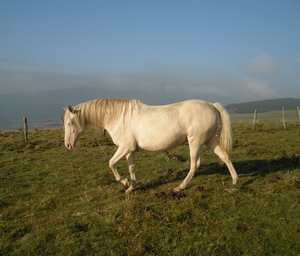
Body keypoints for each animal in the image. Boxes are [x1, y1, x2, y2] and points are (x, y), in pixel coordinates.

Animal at [62, 99, 237, 193]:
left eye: (70, 122)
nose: (68, 145)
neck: (118, 117)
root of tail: (212, 105)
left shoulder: (124, 148)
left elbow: (111, 163)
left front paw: (125, 183)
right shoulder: (130, 150)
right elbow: (131, 168)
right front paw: (131, 187)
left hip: (195, 142)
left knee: (195, 164)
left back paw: (179, 187)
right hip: (210, 141)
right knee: (225, 157)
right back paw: (235, 181)